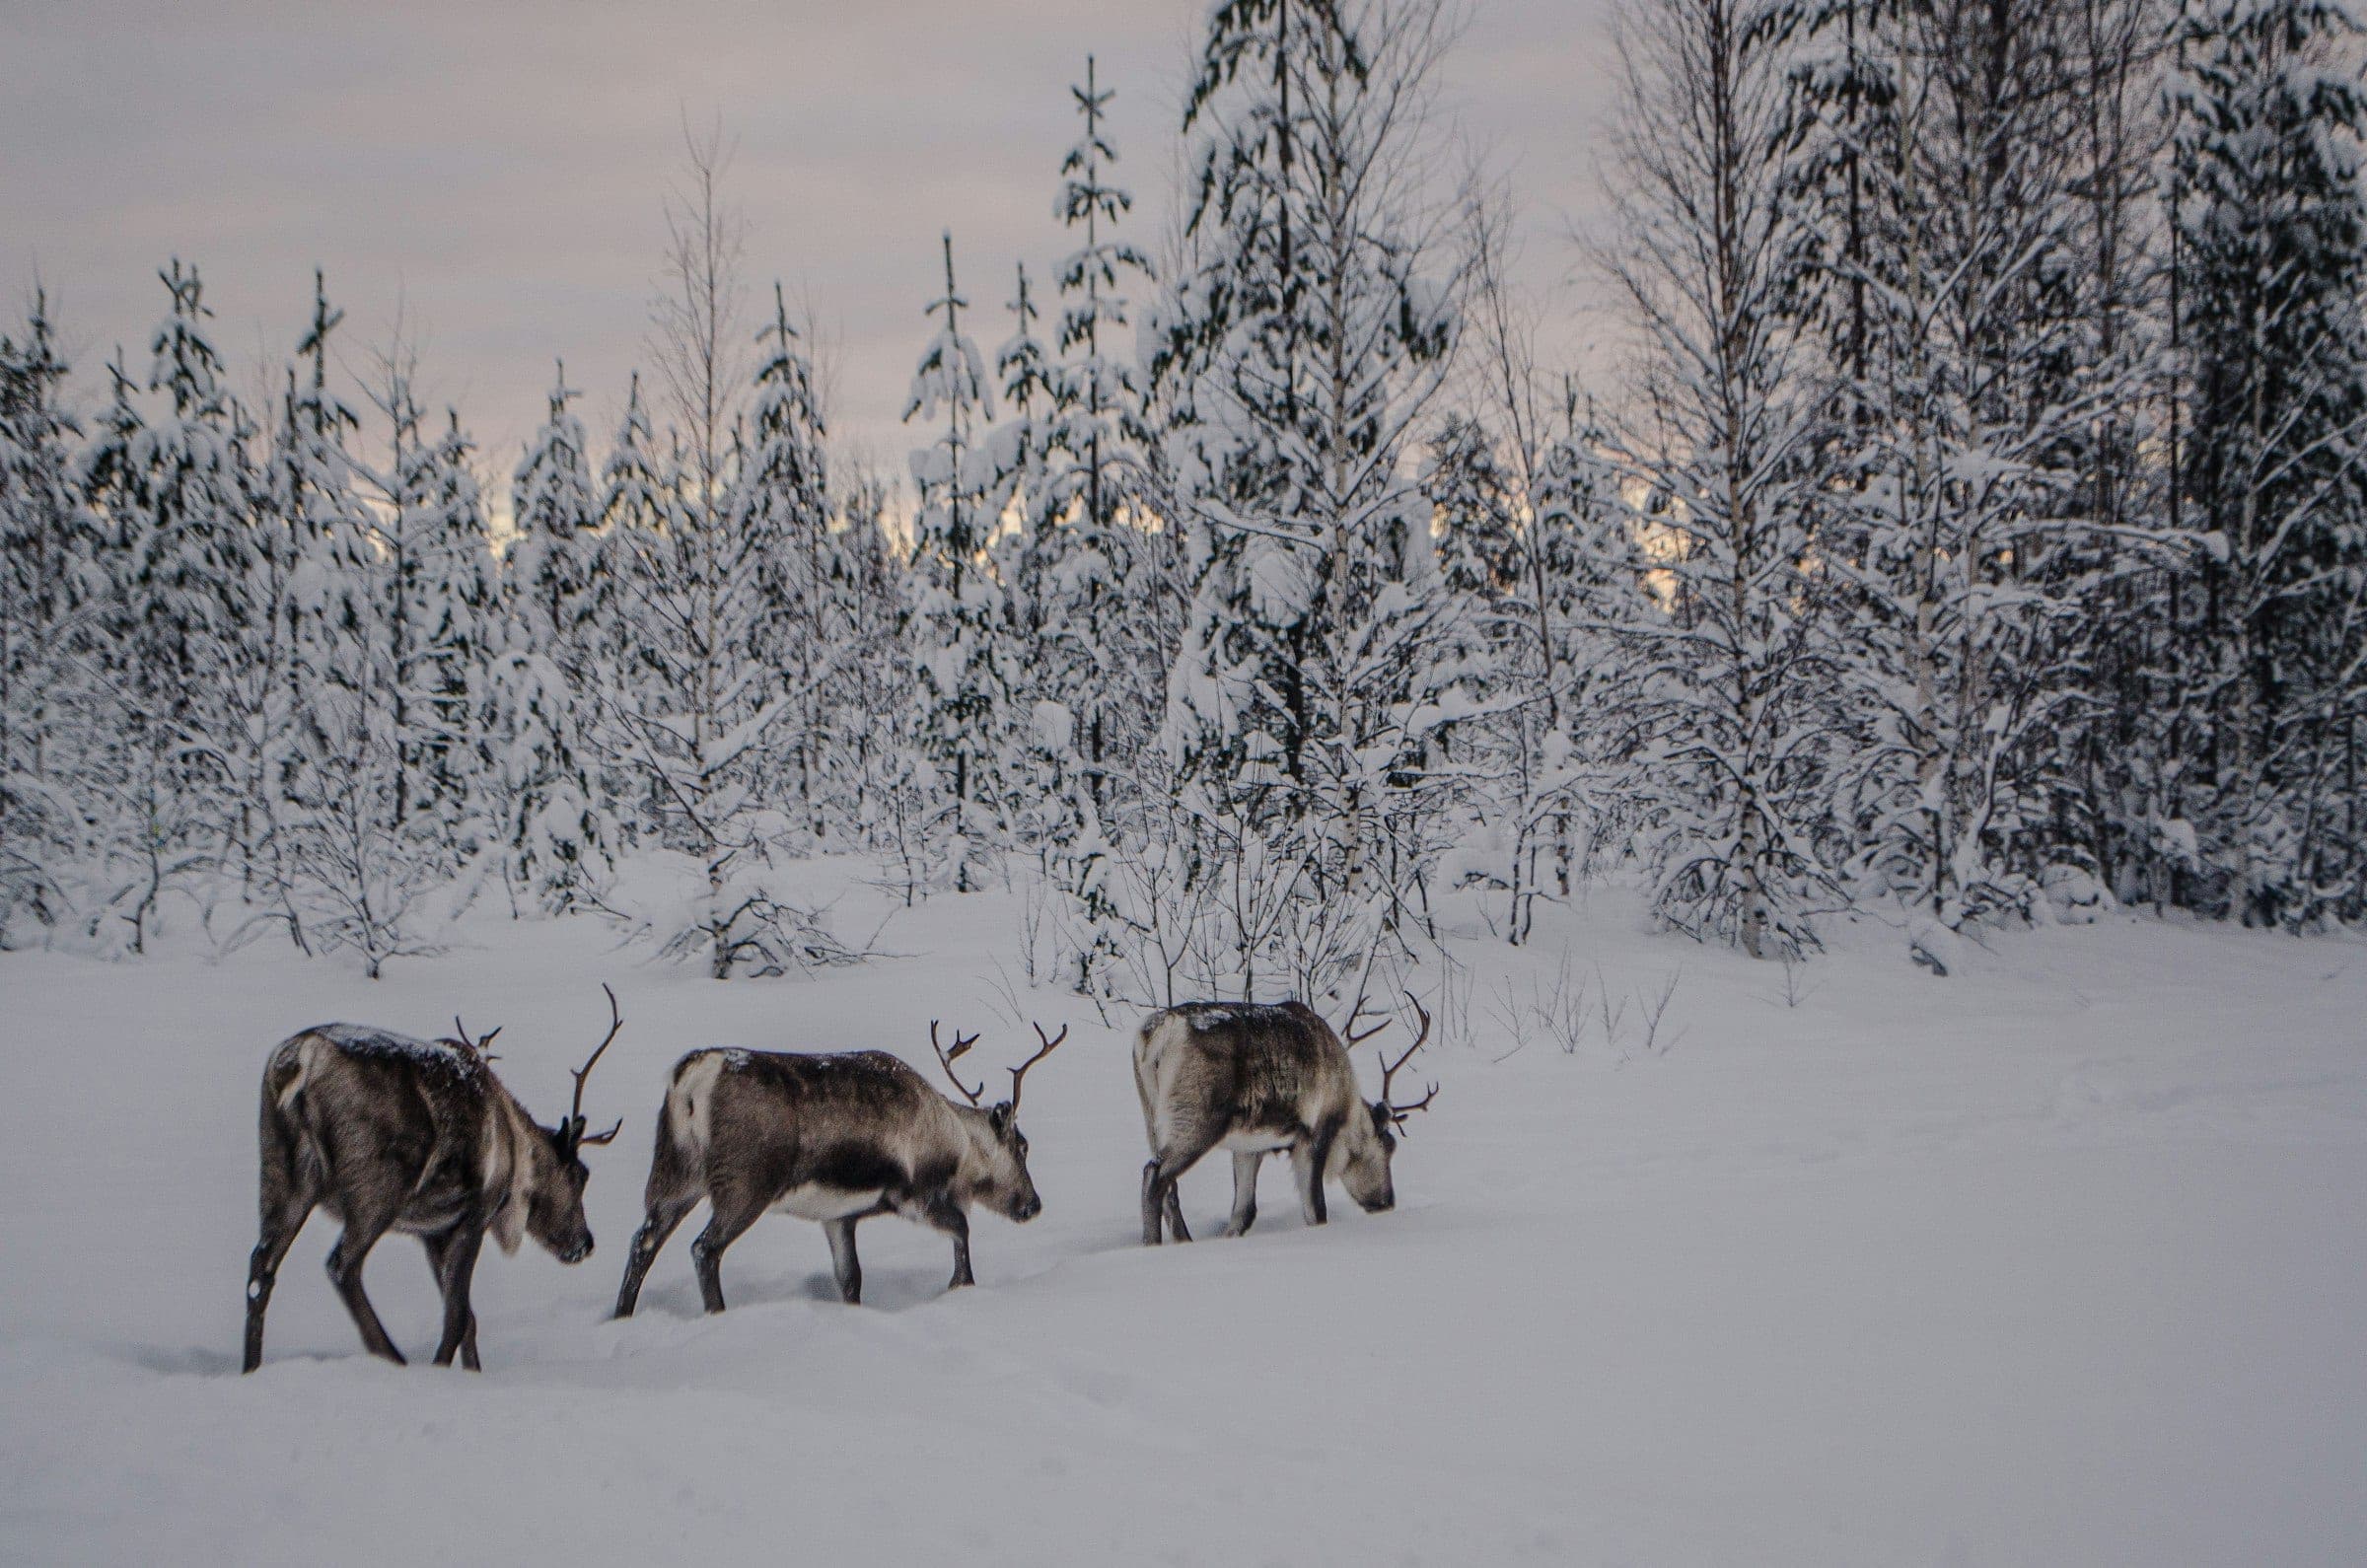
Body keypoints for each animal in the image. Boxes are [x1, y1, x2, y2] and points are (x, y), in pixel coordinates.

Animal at [241, 987, 625, 1373]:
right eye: (580, 1175)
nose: (585, 1243)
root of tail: (303, 1060)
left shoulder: (432, 1232)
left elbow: (468, 1318)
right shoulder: (475, 1215)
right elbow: (457, 1317)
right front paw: (442, 1369)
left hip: (282, 1173)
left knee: (261, 1268)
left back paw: (251, 1367)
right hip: (376, 1188)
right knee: (341, 1265)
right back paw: (394, 1358)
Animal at [611, 1021, 1065, 1318]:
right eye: (1022, 1146)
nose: (1033, 1205)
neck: (956, 1141)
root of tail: (690, 1079)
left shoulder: (839, 1217)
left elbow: (850, 1278)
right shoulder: (915, 1195)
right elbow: (962, 1230)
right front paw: (960, 1287)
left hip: (674, 1174)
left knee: (643, 1243)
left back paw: (621, 1316)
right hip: (745, 1186)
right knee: (704, 1249)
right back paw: (718, 1314)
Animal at [1134, 993, 1436, 1246]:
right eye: (1388, 1147)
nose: (1387, 1202)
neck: (1347, 1107)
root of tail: (1155, 1035)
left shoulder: (1249, 1147)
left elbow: (1243, 1213)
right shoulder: (1313, 1135)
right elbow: (1316, 1210)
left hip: (1153, 1119)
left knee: (1169, 1187)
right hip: (1197, 1119)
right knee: (1155, 1175)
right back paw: (1153, 1245)